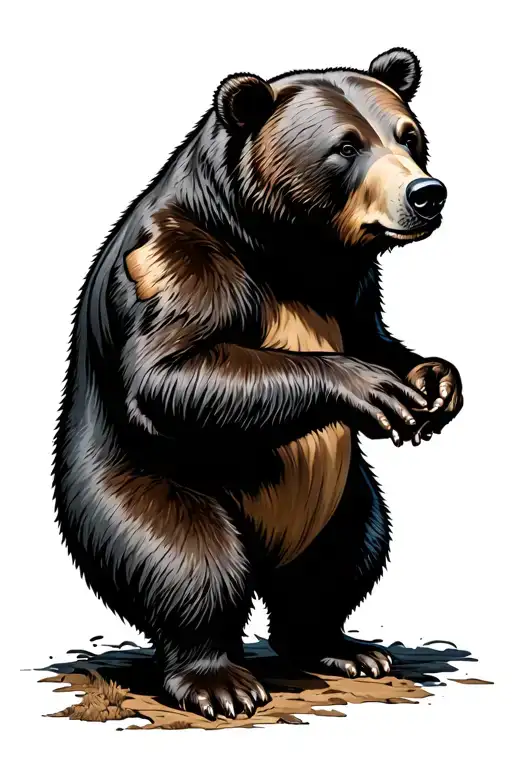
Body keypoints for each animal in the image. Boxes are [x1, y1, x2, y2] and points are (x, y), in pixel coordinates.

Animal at [53, 47, 463, 721]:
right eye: (345, 147)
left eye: (410, 137)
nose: (427, 193)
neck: (286, 253)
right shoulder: (175, 259)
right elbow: (174, 372)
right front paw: (372, 388)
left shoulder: (348, 286)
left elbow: (375, 336)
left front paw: (435, 382)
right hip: (142, 481)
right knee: (189, 562)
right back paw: (219, 680)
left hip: (344, 497)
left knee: (347, 555)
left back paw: (342, 648)